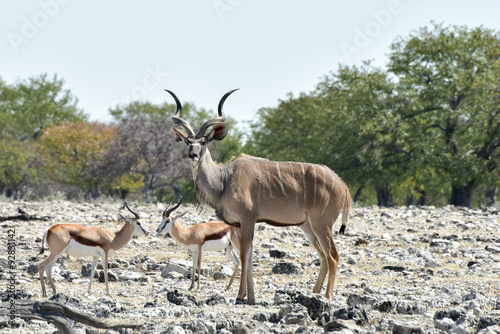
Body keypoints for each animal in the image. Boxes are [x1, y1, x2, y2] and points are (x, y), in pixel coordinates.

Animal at [166, 88, 350, 306]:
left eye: (203, 142)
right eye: (188, 141)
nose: (193, 155)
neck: (225, 179)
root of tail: (342, 184)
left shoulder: (248, 219)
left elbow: (245, 256)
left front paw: (240, 296)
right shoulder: (239, 224)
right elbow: (250, 257)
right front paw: (251, 298)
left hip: (322, 224)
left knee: (333, 255)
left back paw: (327, 297)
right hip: (307, 226)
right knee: (323, 256)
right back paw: (314, 293)